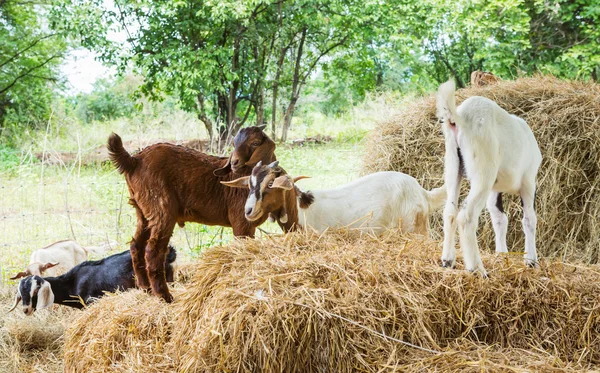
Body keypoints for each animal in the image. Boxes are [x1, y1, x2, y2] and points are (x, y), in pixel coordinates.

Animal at [8, 247, 176, 314]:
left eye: (36, 290)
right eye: (21, 293)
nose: (26, 309)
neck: (71, 282)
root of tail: (169, 251)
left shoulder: (92, 300)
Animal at [221, 161, 446, 234]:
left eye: (270, 184)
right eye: (249, 185)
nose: (248, 211)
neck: (301, 210)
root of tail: (423, 192)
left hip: (414, 228)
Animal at [436, 79, 544, 276]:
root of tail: (460, 117)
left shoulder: (495, 188)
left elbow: (500, 218)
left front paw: (501, 254)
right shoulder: (528, 181)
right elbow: (529, 219)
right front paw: (531, 261)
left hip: (453, 166)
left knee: (450, 211)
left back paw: (448, 260)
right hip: (482, 170)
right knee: (467, 216)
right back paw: (477, 269)